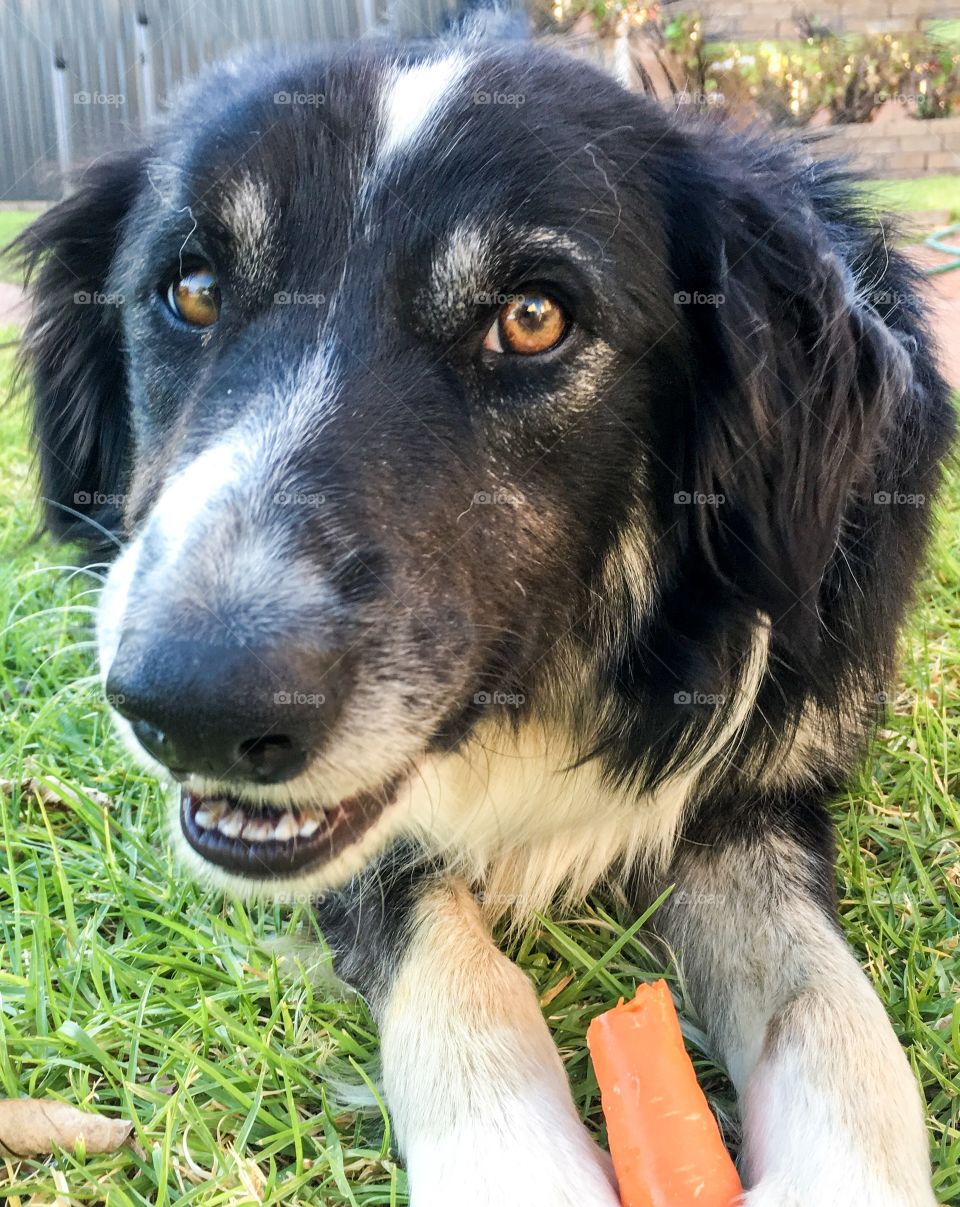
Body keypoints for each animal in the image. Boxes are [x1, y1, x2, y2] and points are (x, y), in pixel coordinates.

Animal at [13, 37, 951, 1207]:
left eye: (534, 318)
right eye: (190, 291)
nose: (193, 709)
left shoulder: (759, 788)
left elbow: (831, 1007)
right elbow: (456, 975)